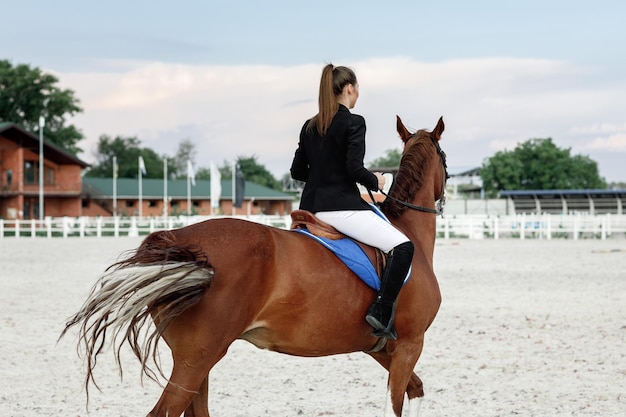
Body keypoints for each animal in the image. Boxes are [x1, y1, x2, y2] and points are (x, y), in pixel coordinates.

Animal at [62, 115, 444, 416]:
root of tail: (177, 238)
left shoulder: (380, 348)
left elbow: (416, 389)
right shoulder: (410, 344)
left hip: (196, 359)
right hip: (197, 358)